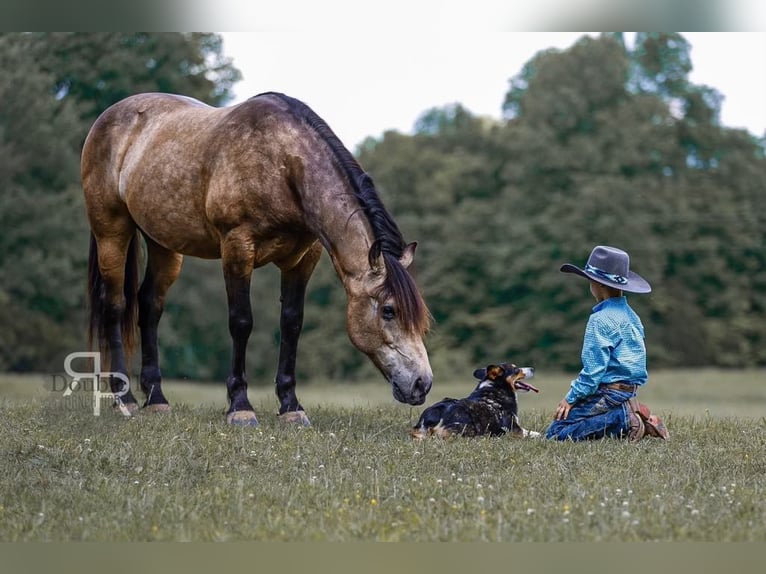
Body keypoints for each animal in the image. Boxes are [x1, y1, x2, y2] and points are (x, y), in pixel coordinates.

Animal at [84, 91, 436, 428]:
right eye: (389, 310)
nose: (423, 384)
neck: (282, 166)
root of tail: (108, 116)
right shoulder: (237, 248)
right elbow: (241, 322)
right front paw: (240, 407)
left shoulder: (303, 259)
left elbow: (292, 323)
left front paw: (291, 407)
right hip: (112, 232)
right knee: (115, 305)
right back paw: (125, 399)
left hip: (164, 244)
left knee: (150, 306)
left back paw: (156, 399)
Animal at [412, 364, 544, 440]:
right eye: (516, 370)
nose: (533, 368)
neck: (497, 387)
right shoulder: (515, 430)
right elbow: (535, 433)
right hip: (470, 428)